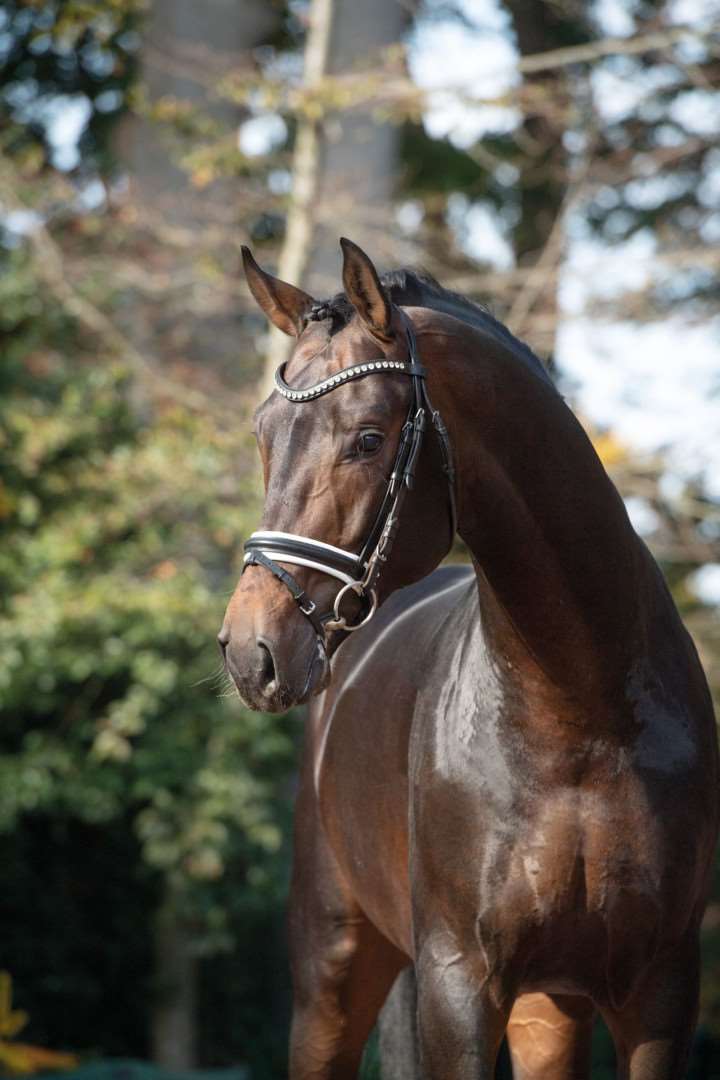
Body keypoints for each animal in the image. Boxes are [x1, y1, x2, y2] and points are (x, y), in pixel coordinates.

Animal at [218, 237, 719, 1079]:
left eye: (366, 438)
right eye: (264, 435)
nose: (251, 651)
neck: (579, 711)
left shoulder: (661, 990)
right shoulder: (459, 984)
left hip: (548, 1007)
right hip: (331, 974)